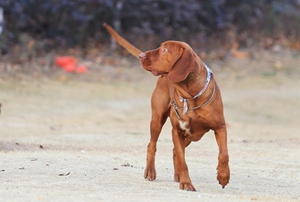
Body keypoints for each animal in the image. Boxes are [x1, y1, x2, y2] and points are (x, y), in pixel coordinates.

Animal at [103, 23, 230, 191]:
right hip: (158, 120)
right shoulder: (177, 131)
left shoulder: (220, 127)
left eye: (165, 49)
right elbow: (183, 160)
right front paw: (186, 182)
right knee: (152, 145)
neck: (190, 95)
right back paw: (151, 171)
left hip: (189, 137)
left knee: (175, 151)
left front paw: (223, 176)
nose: (141, 55)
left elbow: (224, 154)